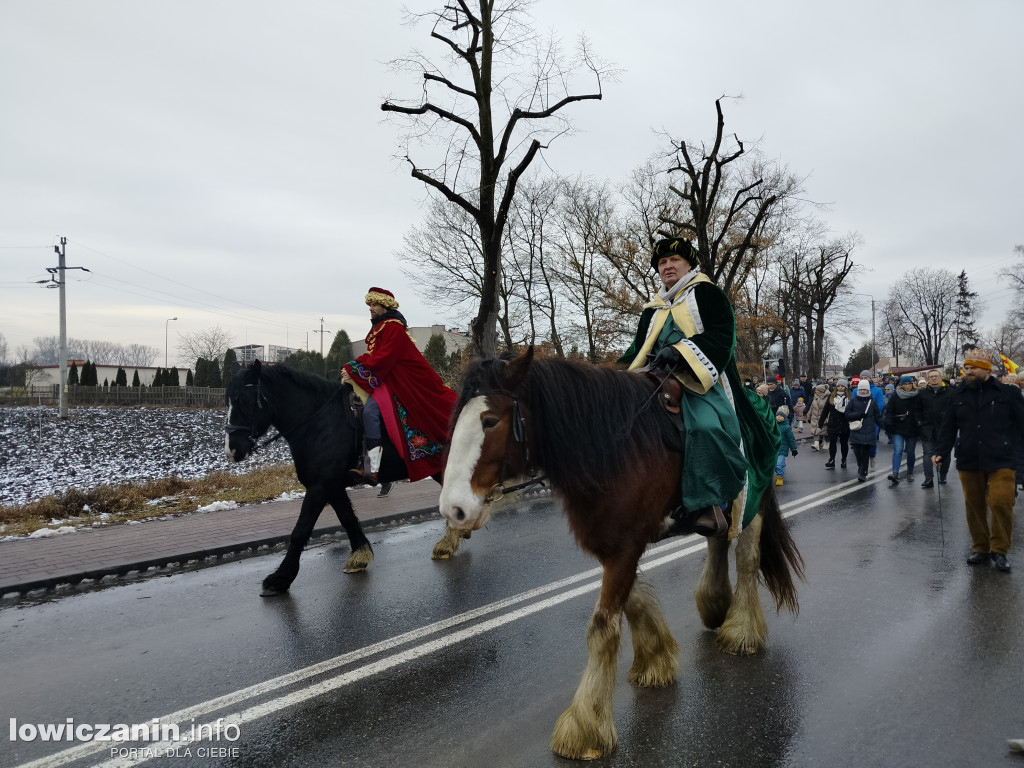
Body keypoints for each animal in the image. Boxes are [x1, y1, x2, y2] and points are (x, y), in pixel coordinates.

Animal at [440, 352, 806, 761]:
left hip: (752, 499)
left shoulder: (625, 548)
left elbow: (602, 627)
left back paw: (741, 630)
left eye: (490, 420)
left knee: (745, 556)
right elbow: (632, 602)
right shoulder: (614, 545)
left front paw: (585, 728)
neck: (614, 448)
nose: (454, 510)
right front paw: (655, 659)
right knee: (717, 543)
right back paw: (715, 603)